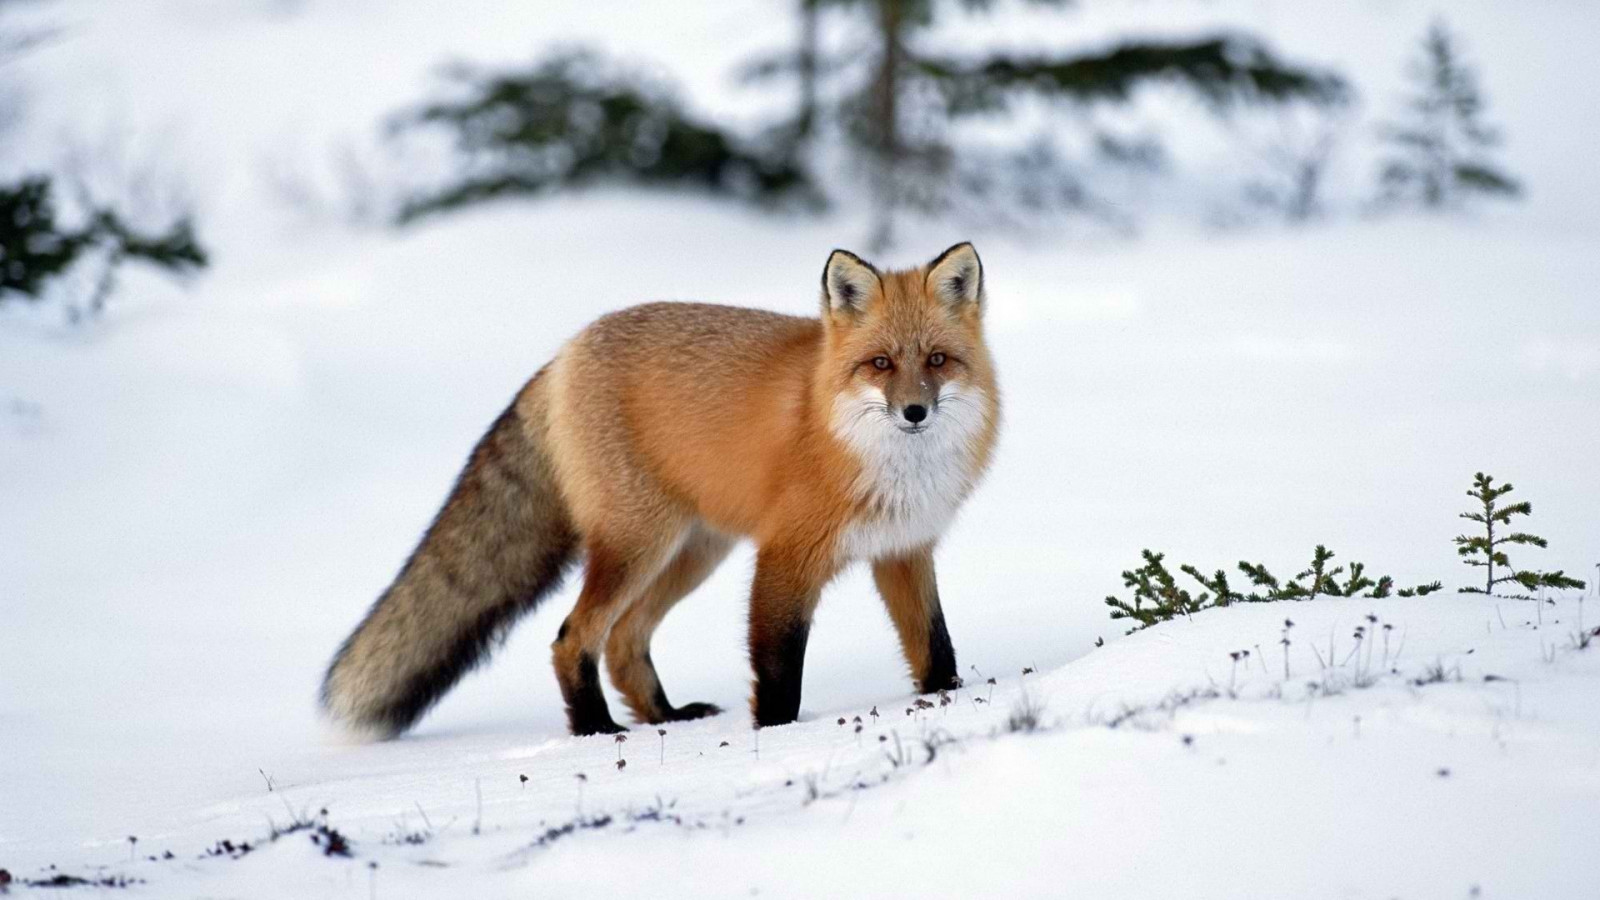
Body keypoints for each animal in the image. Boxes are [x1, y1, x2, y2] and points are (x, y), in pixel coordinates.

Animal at [320, 242, 1000, 738]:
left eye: (937, 361)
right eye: (880, 364)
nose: (914, 412)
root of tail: (564, 353)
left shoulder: (903, 550)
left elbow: (936, 647)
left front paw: (948, 701)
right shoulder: (785, 556)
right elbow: (778, 665)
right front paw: (776, 735)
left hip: (693, 552)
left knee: (624, 641)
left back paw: (664, 717)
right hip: (638, 545)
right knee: (573, 637)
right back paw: (595, 729)